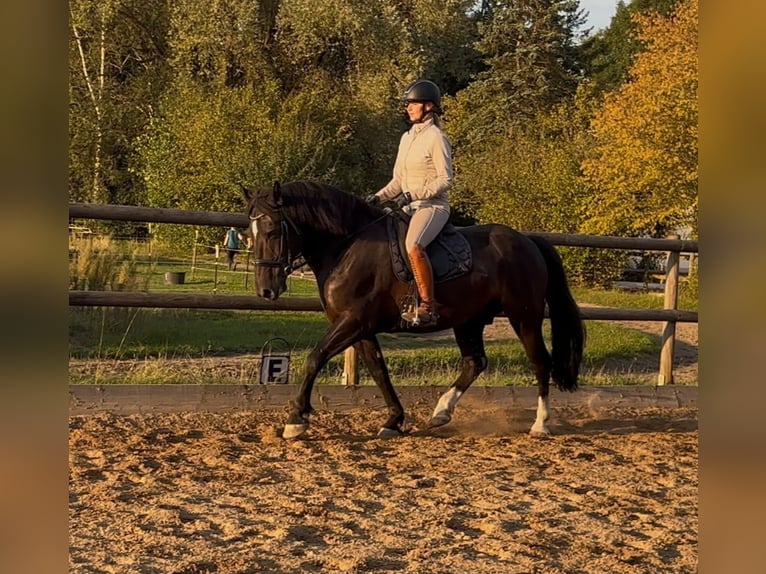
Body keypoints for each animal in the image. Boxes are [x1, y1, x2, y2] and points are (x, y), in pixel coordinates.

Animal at [243, 180, 585, 439]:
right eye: (251, 232)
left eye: (272, 230)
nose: (266, 290)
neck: (347, 248)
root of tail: (526, 241)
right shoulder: (359, 327)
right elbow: (378, 370)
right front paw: (393, 421)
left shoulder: (353, 322)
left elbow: (315, 358)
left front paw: (295, 420)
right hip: (469, 320)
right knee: (475, 362)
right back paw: (441, 412)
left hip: (524, 316)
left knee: (540, 362)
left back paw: (540, 424)